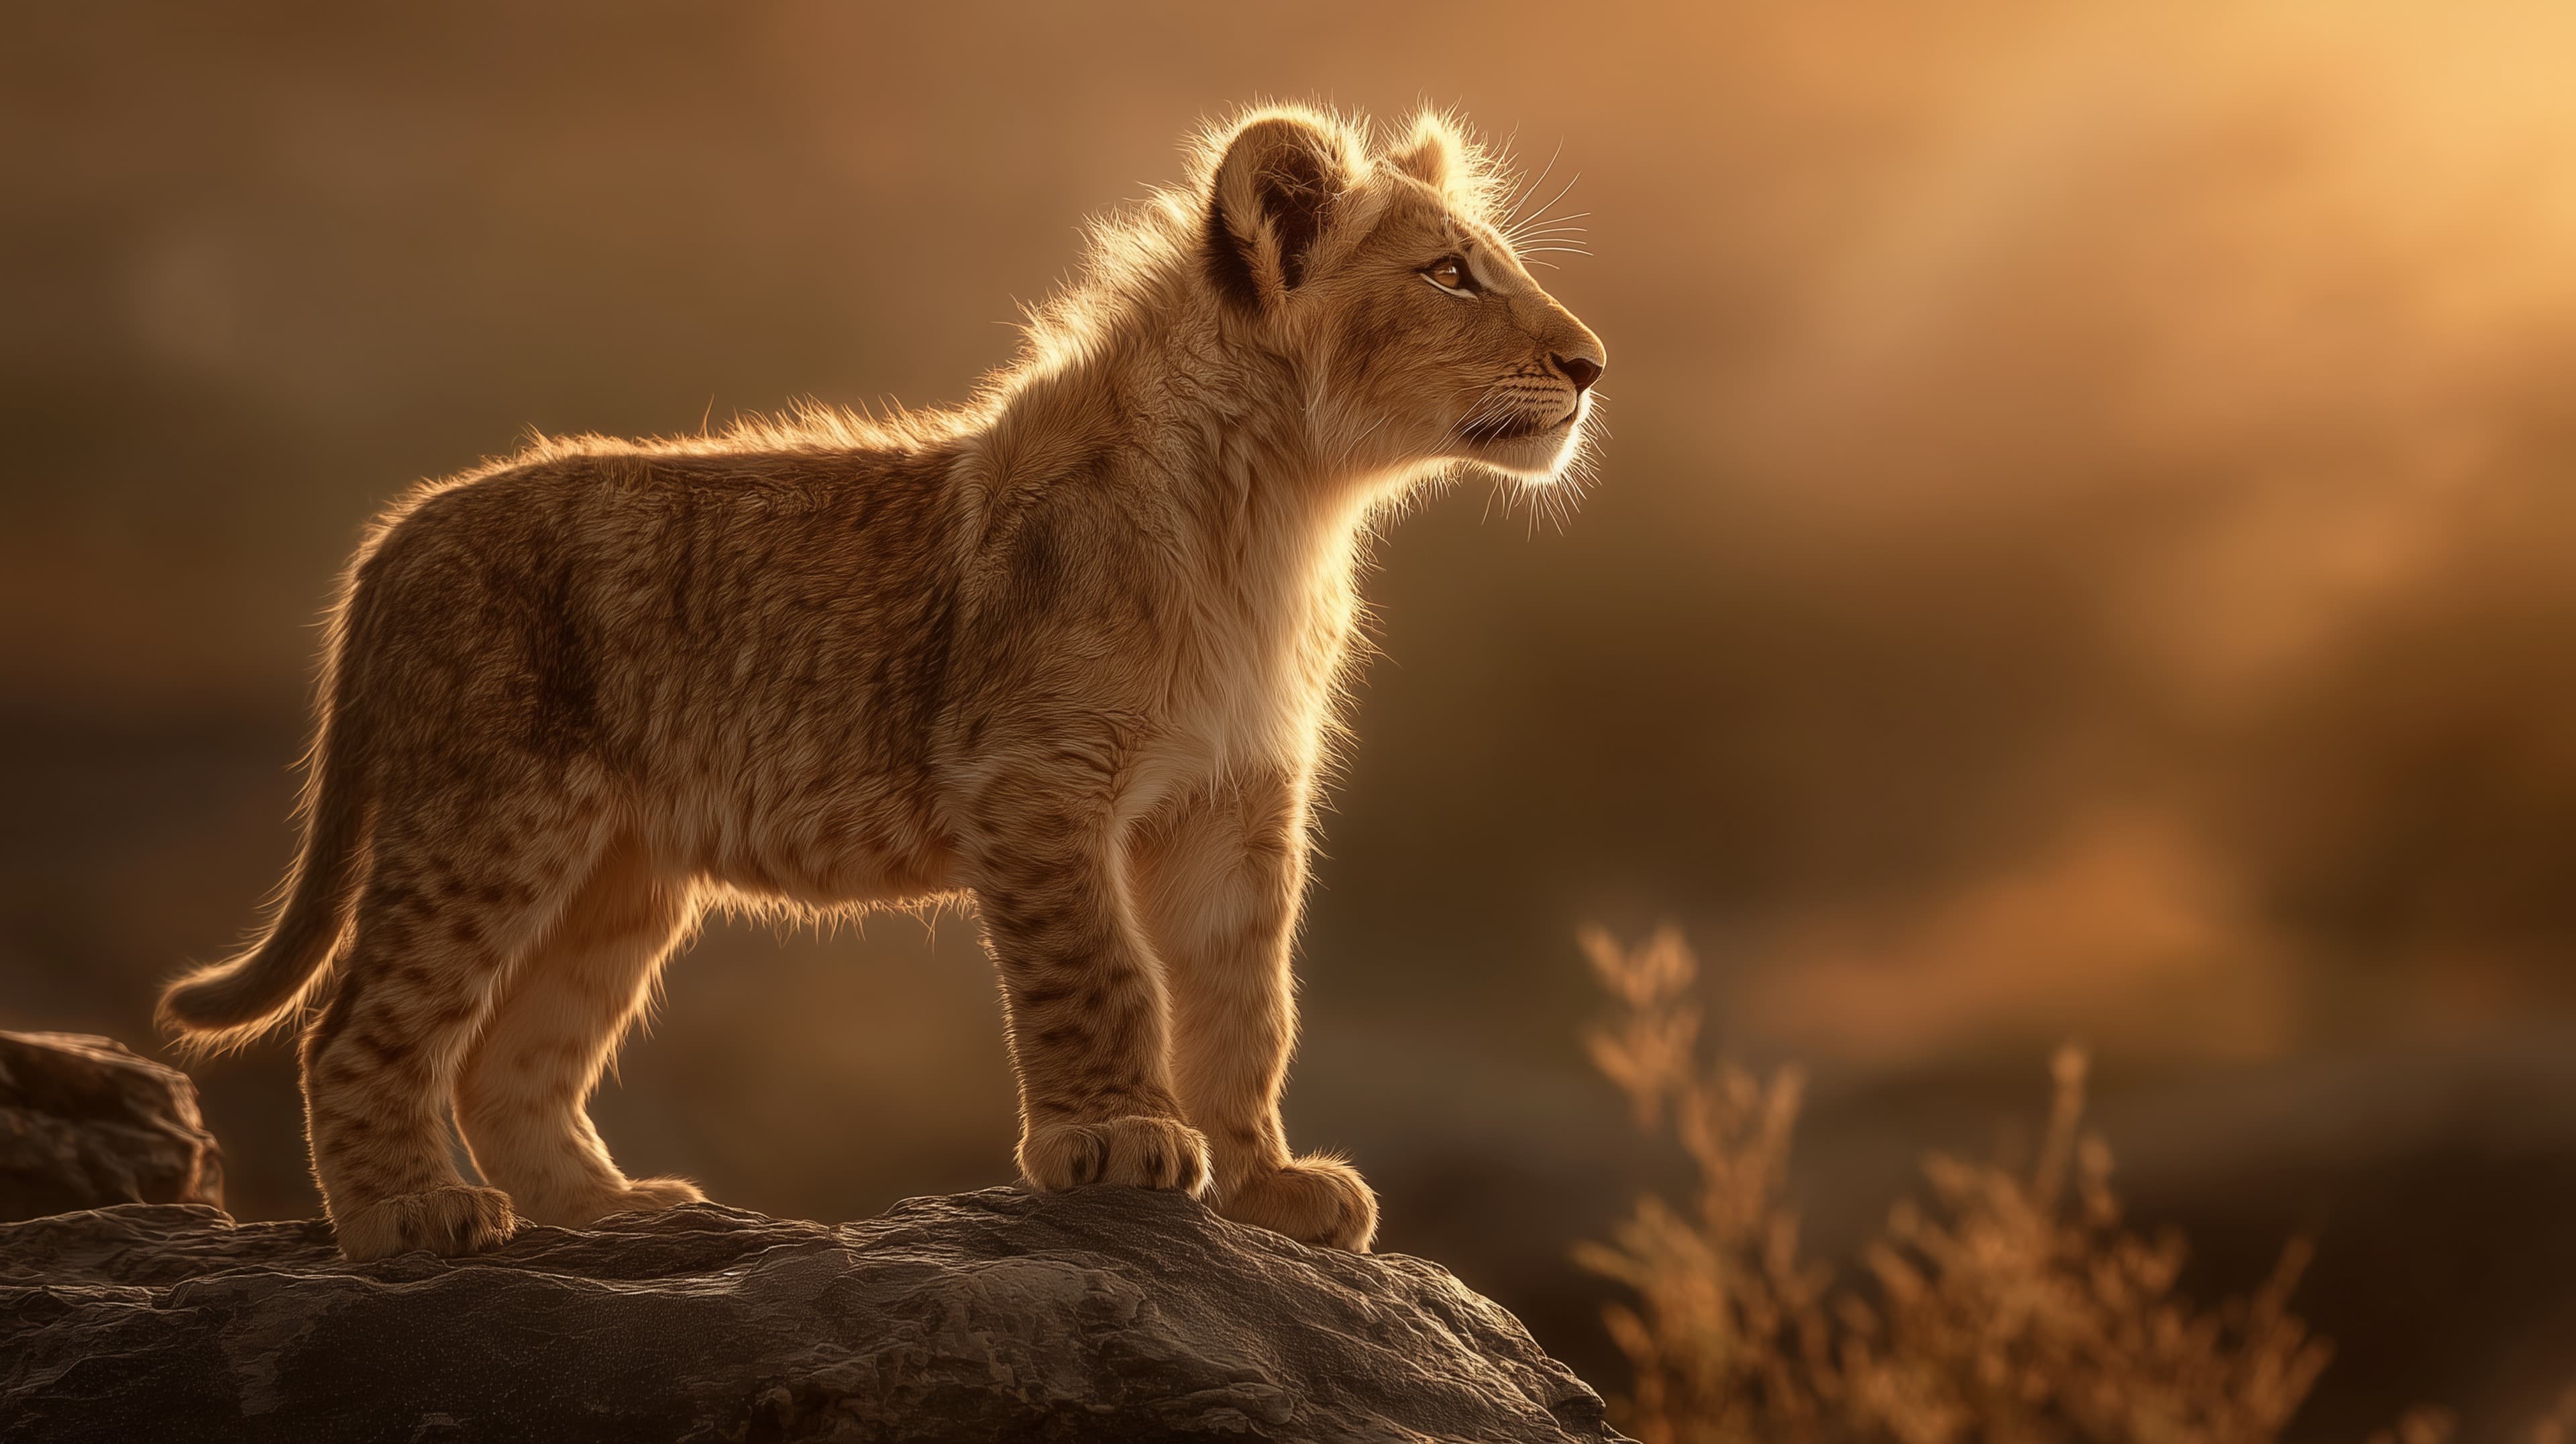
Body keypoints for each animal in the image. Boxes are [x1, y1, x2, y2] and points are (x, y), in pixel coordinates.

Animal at [158, 104, 1606, 1262]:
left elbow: (1244, 1000)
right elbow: (1105, 970)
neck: (1282, 508)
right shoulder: (1031, 775)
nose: (1592, 364)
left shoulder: (1237, 799)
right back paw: (406, 1218)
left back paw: (612, 1209)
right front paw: (1115, 1140)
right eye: (1451, 274)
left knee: (516, 1053)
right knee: (358, 1020)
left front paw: (1266, 1181)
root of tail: (399, 530)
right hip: (491, 818)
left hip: (618, 869)